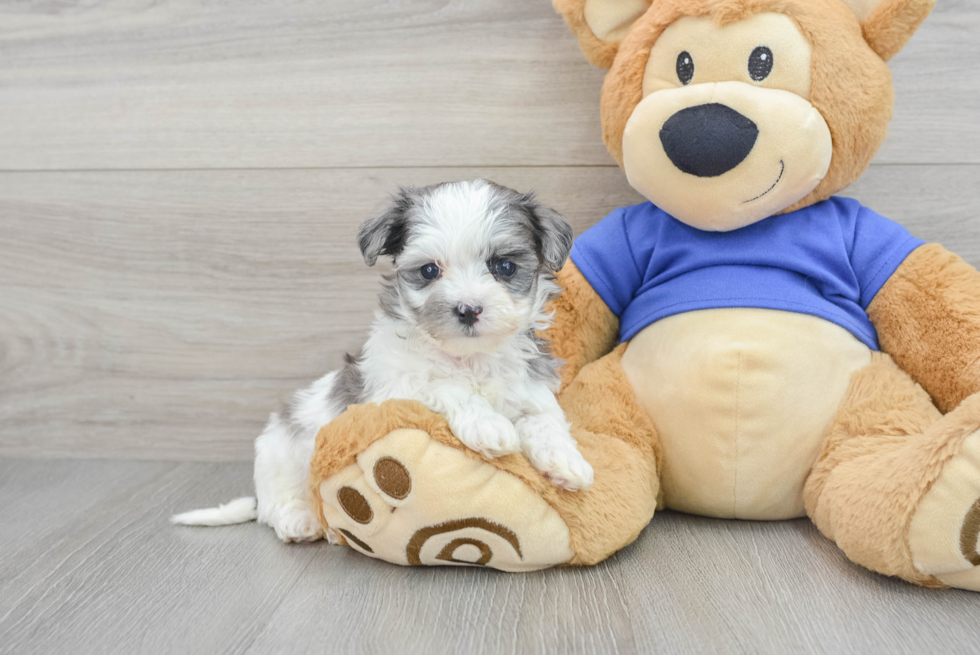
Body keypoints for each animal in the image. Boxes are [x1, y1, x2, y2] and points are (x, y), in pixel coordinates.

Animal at [172, 181, 592, 544]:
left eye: (504, 266)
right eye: (429, 271)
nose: (468, 309)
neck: (467, 358)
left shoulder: (529, 386)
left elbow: (545, 418)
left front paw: (565, 460)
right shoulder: (393, 390)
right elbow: (443, 386)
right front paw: (488, 425)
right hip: (279, 453)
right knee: (276, 502)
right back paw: (299, 519)